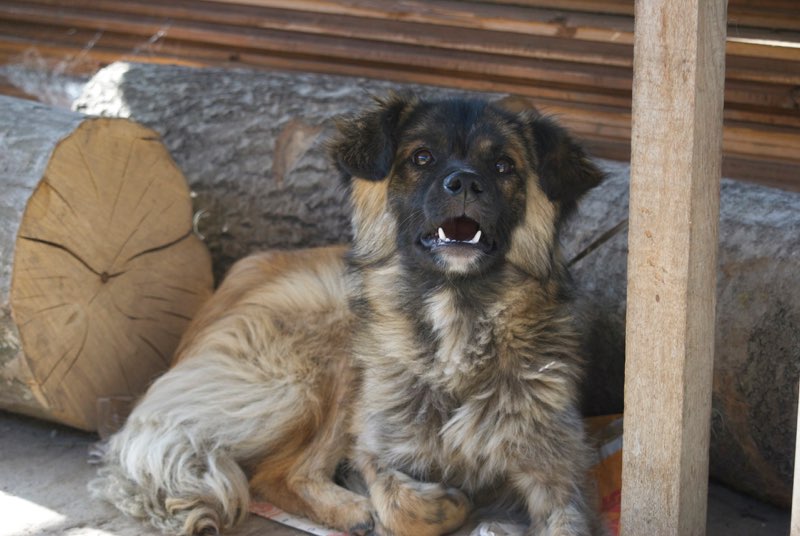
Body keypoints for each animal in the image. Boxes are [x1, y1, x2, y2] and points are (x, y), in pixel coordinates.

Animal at [90, 93, 608, 536]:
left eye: (503, 165)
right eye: (422, 158)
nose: (464, 182)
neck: (456, 327)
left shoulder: (558, 477)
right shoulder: (373, 442)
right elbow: (401, 504)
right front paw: (444, 503)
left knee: (272, 473)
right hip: (328, 351)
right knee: (282, 473)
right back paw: (354, 510)